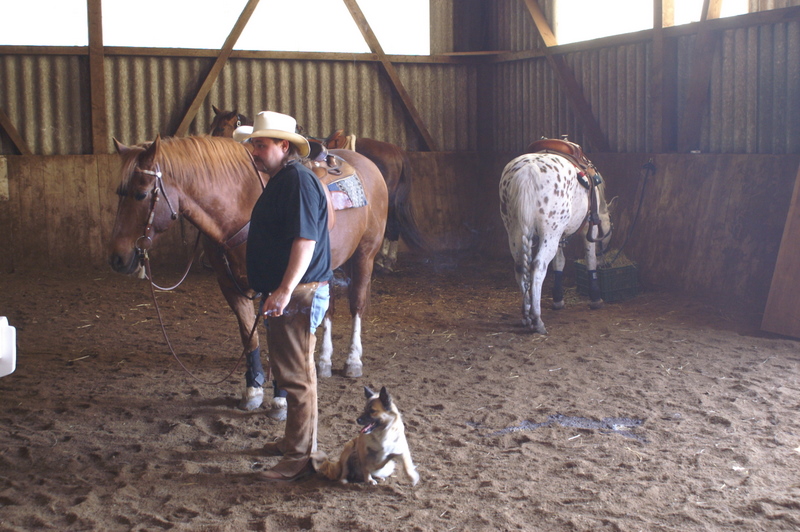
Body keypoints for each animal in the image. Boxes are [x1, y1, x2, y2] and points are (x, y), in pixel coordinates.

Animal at [107, 135, 388, 415]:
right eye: (119, 192)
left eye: (141, 194)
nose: (117, 258)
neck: (242, 206)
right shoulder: (230, 286)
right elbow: (249, 336)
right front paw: (253, 389)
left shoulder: (280, 290)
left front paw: (281, 398)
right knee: (328, 310)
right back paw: (324, 361)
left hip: (365, 256)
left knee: (357, 304)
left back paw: (353, 361)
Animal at [498, 143, 613, 335]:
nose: (606, 263)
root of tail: (527, 172)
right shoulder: (588, 228)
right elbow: (590, 259)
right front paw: (595, 297)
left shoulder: (559, 236)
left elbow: (559, 263)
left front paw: (558, 298)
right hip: (549, 233)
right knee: (537, 267)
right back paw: (537, 320)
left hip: (515, 232)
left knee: (521, 267)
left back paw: (526, 317)